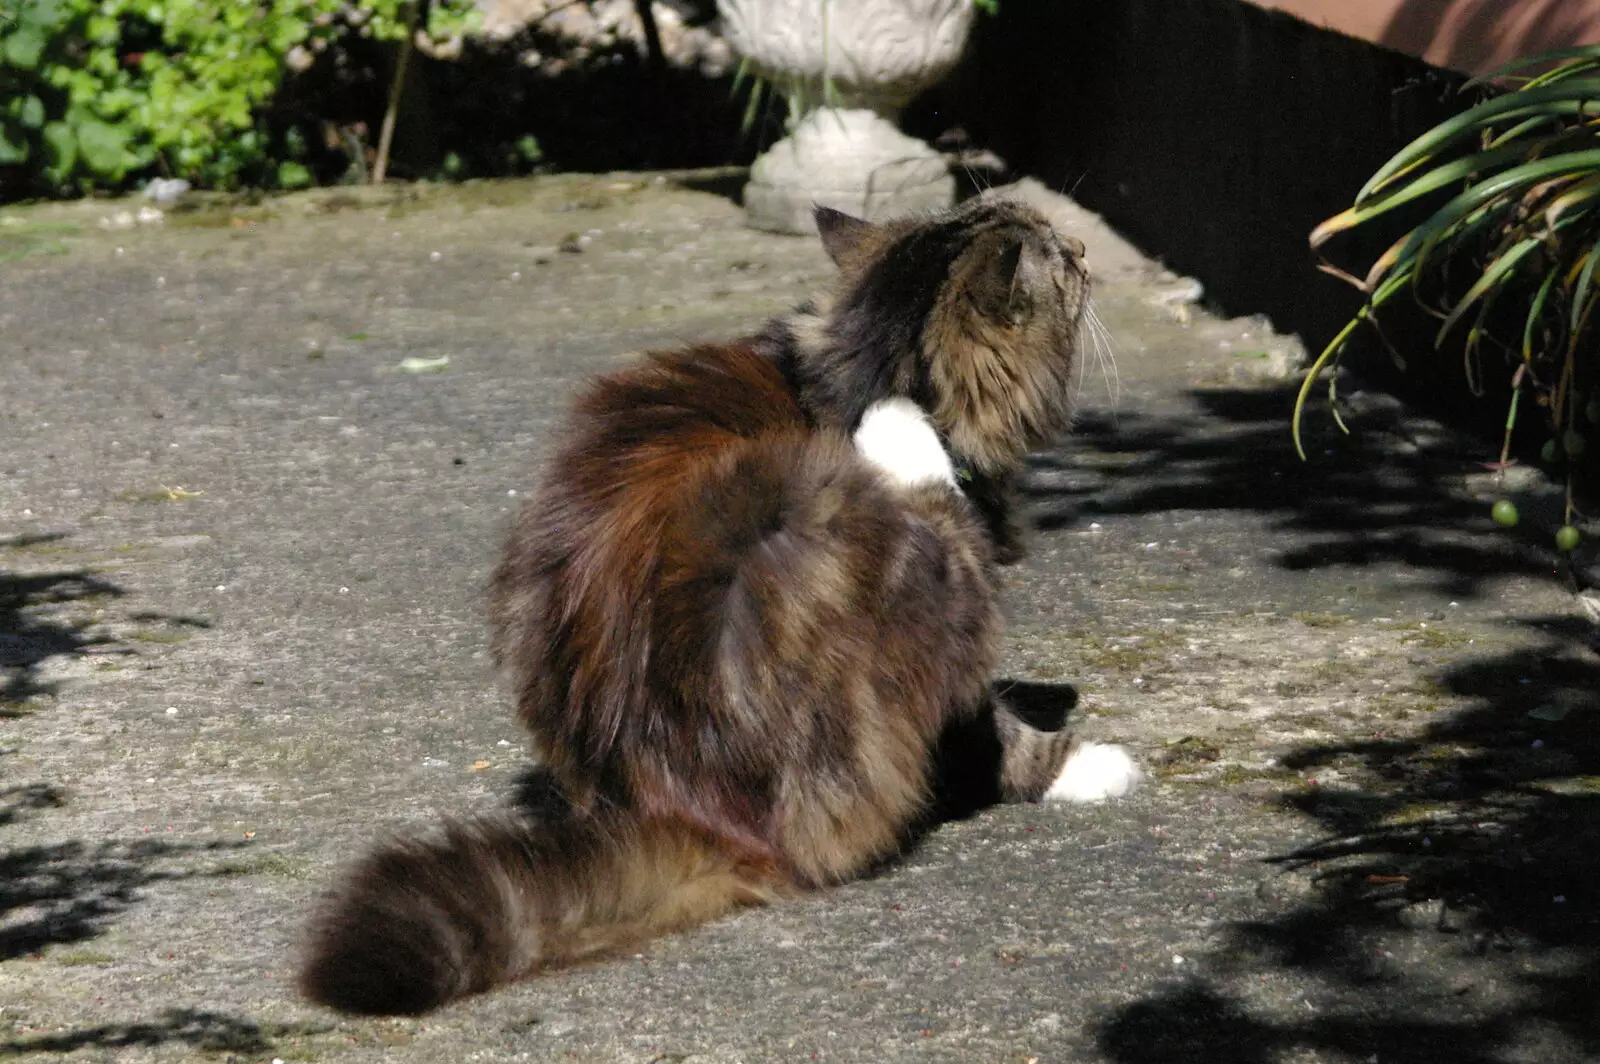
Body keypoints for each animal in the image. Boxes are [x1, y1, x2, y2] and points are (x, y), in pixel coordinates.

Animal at [300, 195, 1145, 1017]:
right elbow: (996, 732)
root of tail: (686, 809)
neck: (860, 370)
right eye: (1061, 255)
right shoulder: (952, 589)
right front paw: (1082, 765)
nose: (1085, 248)